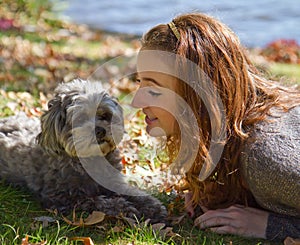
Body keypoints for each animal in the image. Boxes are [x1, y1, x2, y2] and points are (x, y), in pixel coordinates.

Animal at [0, 79, 166, 222]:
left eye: (105, 115)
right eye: (80, 119)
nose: (99, 130)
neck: (91, 158)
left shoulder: (113, 182)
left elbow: (133, 192)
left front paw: (152, 205)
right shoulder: (62, 198)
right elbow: (98, 202)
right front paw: (123, 207)